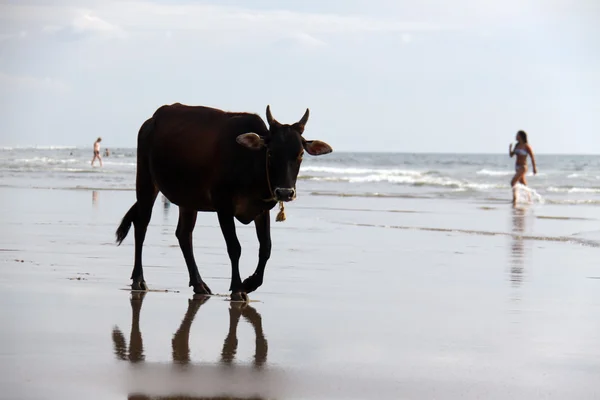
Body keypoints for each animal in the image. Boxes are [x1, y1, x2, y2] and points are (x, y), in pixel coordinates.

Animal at [115, 103, 336, 300]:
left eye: (300, 154)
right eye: (271, 152)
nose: (285, 192)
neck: (250, 162)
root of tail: (151, 121)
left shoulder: (261, 210)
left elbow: (265, 248)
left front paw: (250, 283)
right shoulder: (223, 207)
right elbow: (234, 247)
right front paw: (238, 288)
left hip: (188, 200)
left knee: (184, 235)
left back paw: (199, 284)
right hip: (146, 182)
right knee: (141, 226)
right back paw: (139, 279)